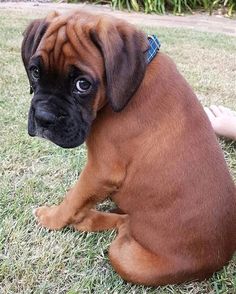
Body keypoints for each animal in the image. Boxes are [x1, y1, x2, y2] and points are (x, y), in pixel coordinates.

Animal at [21, 10, 235, 286]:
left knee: (125, 227)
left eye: (82, 84)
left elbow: (73, 198)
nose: (43, 118)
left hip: (125, 257)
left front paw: (52, 217)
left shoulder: (100, 170)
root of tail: (220, 260)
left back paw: (95, 218)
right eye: (35, 72)